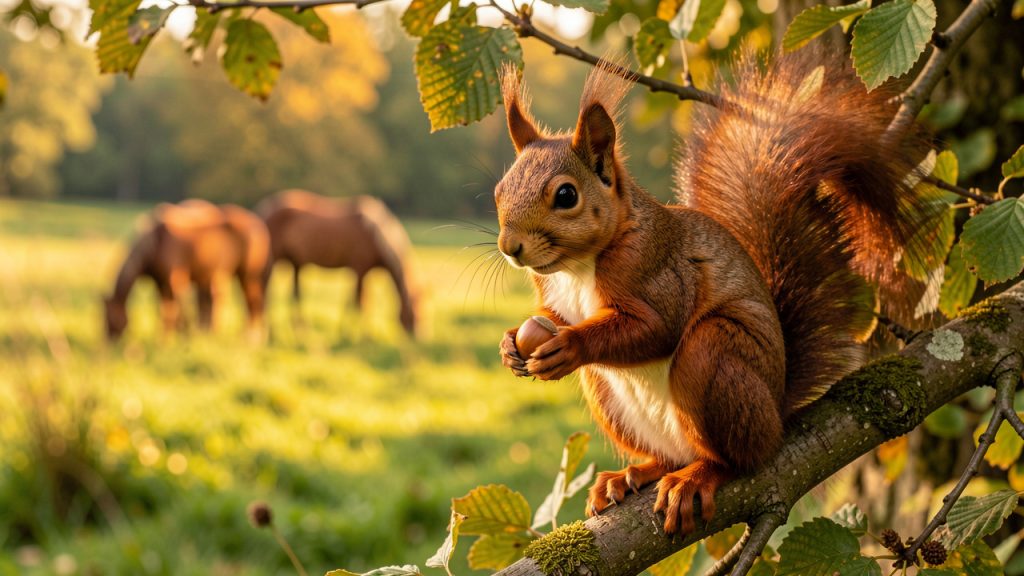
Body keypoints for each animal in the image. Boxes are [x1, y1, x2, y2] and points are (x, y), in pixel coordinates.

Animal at [103, 199, 270, 341]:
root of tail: (257, 223)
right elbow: (165, 310)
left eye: (112, 318)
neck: (156, 243)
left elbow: (173, 311)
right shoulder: (161, 283)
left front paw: (173, 338)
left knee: (253, 302)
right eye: (103, 318)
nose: (110, 343)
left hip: (248, 276)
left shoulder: (174, 280)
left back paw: (252, 337)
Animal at [256, 190, 421, 337]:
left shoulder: (364, 273)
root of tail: (265, 207)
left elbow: (356, 300)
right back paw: (273, 332)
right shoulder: (359, 269)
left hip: (295, 263)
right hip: (274, 260)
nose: (417, 335)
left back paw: (301, 330)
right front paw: (362, 335)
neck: (375, 232)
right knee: (267, 292)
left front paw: (347, 332)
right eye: (413, 310)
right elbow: (359, 301)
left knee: (295, 294)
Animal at [494, 52, 939, 535]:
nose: (510, 247)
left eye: (566, 195)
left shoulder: (658, 271)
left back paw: (697, 477)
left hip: (716, 358)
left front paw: (570, 344)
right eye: (499, 190)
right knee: (668, 455)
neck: (579, 267)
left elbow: (657, 329)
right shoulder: (554, 295)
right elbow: (550, 315)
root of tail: (776, 413)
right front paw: (510, 344)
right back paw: (630, 474)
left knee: (735, 457)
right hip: (608, 397)